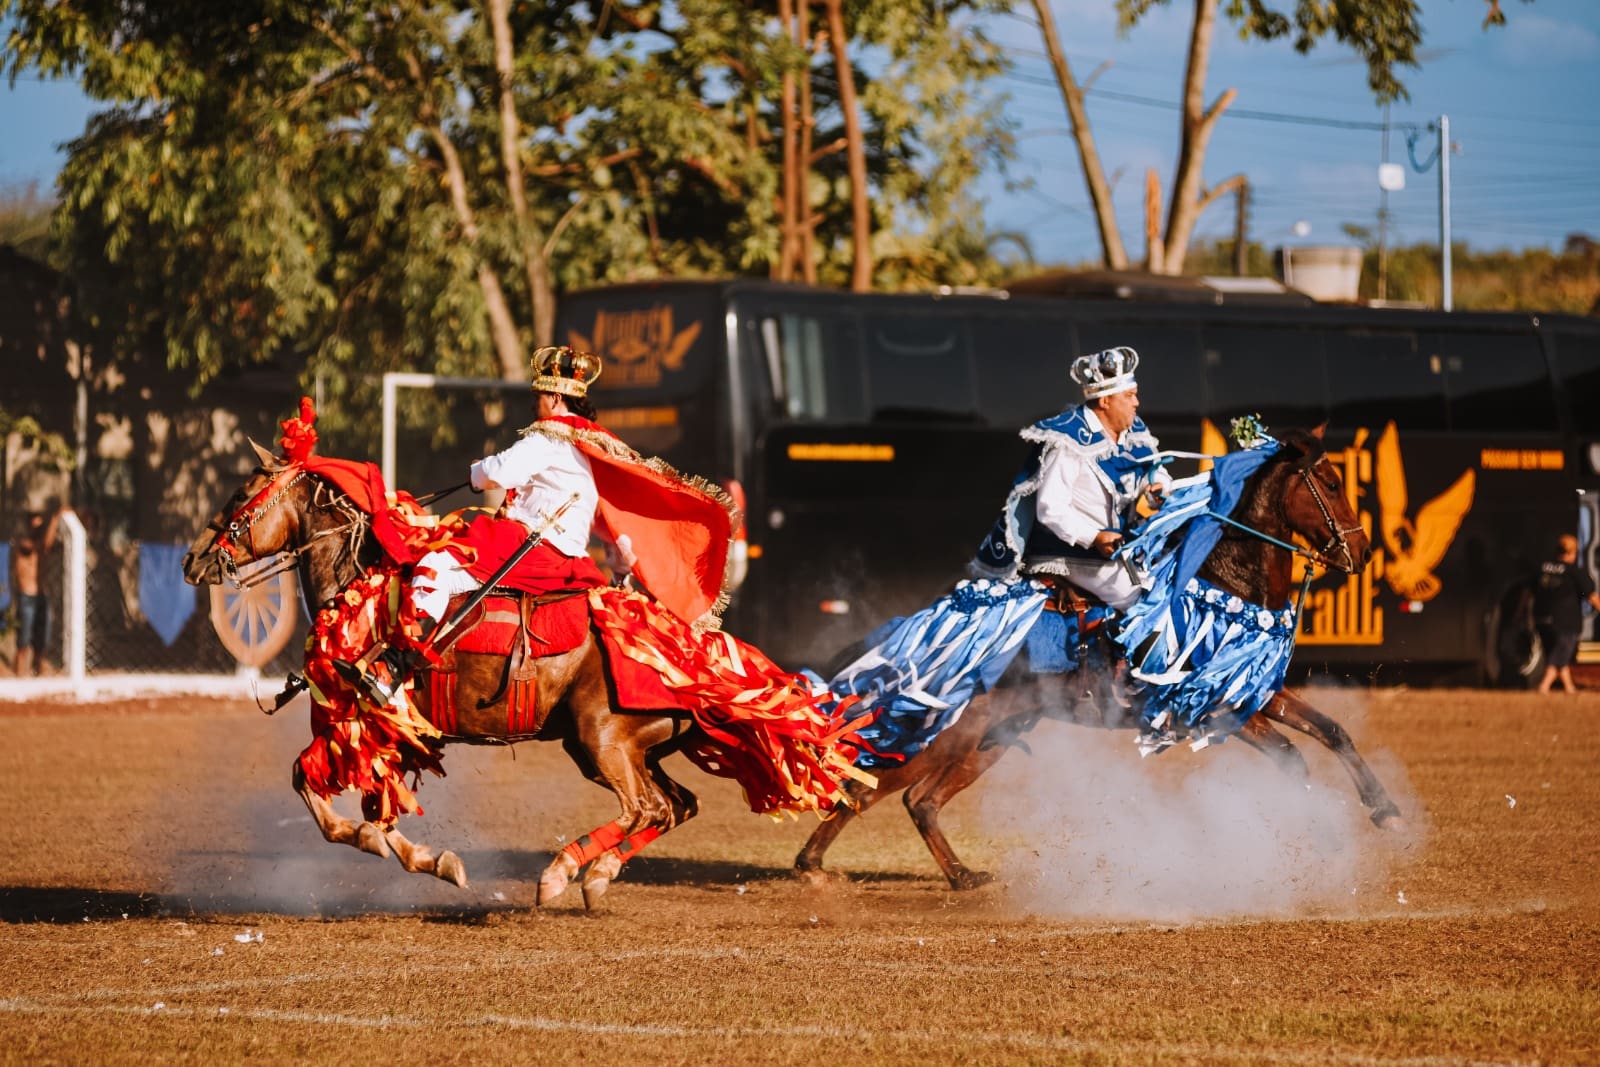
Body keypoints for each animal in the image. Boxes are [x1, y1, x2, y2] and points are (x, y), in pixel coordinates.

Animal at [184, 438, 851, 908]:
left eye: (241, 493)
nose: (193, 559)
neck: (362, 585)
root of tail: (682, 648)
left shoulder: (364, 720)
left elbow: (324, 794)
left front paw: (415, 854)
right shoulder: (383, 734)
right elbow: (360, 801)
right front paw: (425, 856)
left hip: (600, 740)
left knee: (645, 808)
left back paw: (562, 873)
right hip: (631, 748)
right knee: (674, 807)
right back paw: (596, 876)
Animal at [796, 428, 1401, 889]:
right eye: (1329, 483)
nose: (1362, 550)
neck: (1221, 585)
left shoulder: (1257, 693)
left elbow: (1332, 731)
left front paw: (1385, 810)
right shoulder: (1213, 708)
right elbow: (1293, 758)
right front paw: (1322, 828)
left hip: (992, 738)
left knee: (918, 800)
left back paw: (961, 875)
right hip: (951, 732)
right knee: (872, 788)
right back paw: (814, 868)